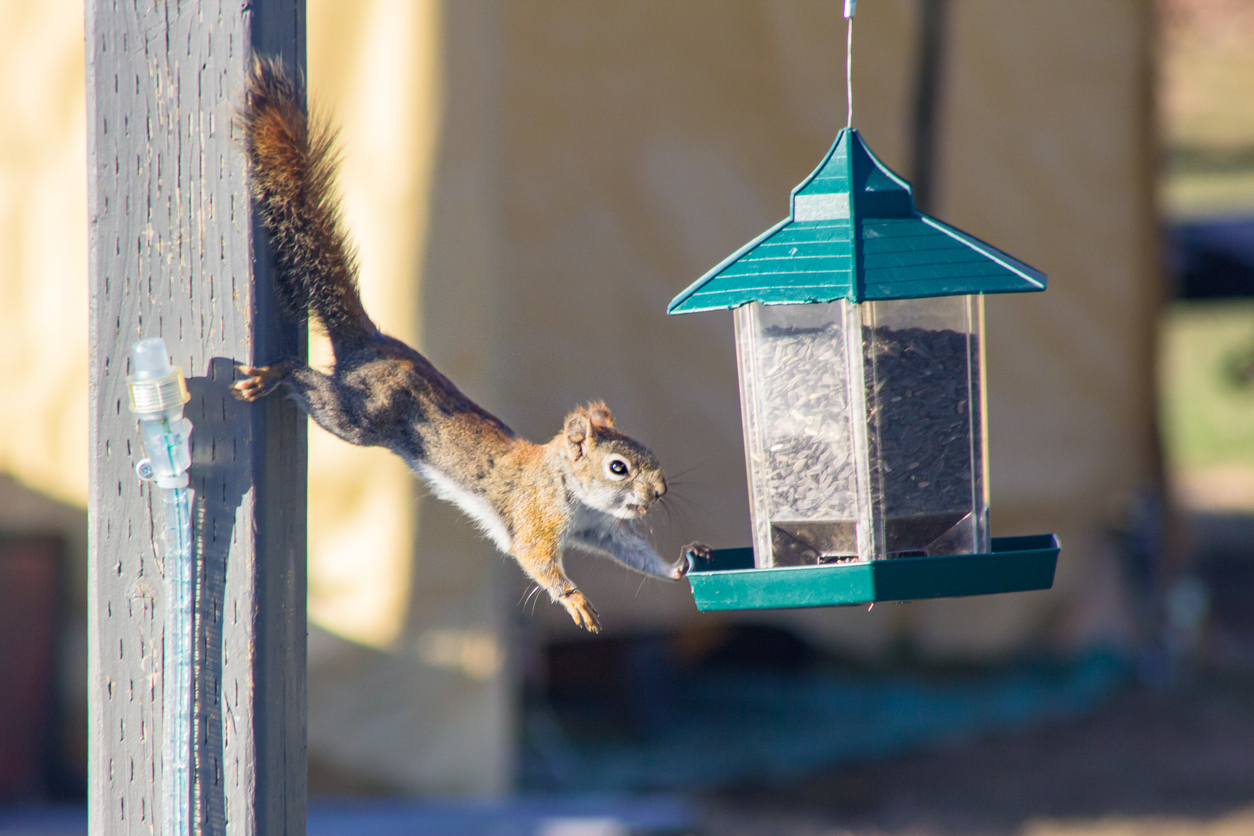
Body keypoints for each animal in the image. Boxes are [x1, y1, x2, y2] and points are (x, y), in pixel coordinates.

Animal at [230, 60, 712, 634]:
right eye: (619, 467)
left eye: (650, 456)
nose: (660, 493)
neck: (568, 485)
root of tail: (370, 340)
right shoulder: (535, 518)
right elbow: (536, 560)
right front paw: (573, 597)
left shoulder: (599, 529)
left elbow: (632, 552)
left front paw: (680, 564)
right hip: (360, 417)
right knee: (312, 387)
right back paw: (272, 373)